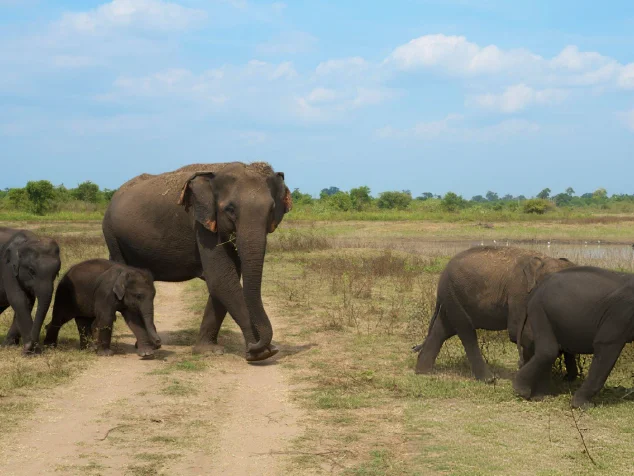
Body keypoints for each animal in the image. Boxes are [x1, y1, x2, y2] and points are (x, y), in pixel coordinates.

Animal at [102, 162, 292, 362]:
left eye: (271, 209)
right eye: (230, 209)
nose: (273, 346)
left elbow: (223, 281)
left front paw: (208, 350)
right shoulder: (200, 223)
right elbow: (221, 279)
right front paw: (261, 353)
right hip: (112, 235)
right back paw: (148, 348)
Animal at [412, 247, 576, 382]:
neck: (543, 259)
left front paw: (569, 379)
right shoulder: (519, 293)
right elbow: (519, 331)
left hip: (452, 297)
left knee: (442, 330)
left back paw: (423, 372)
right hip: (453, 295)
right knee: (466, 331)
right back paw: (488, 379)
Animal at [512, 266, 632, 408]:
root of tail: (536, 287)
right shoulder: (619, 315)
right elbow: (606, 344)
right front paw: (583, 406)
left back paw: (541, 395)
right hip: (540, 309)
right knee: (548, 352)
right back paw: (522, 391)